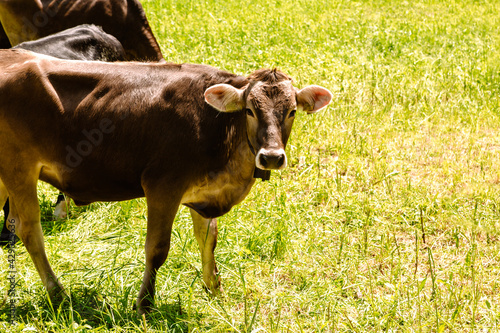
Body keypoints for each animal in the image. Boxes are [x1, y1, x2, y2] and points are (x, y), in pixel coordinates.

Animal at [0, 48, 332, 312]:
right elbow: (157, 248)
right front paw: (145, 304)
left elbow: (208, 240)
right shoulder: (163, 185)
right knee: (29, 229)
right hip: (19, 167)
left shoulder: (202, 195)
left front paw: (216, 290)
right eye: (249, 110)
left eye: (291, 112)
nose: (272, 157)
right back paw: (58, 292)